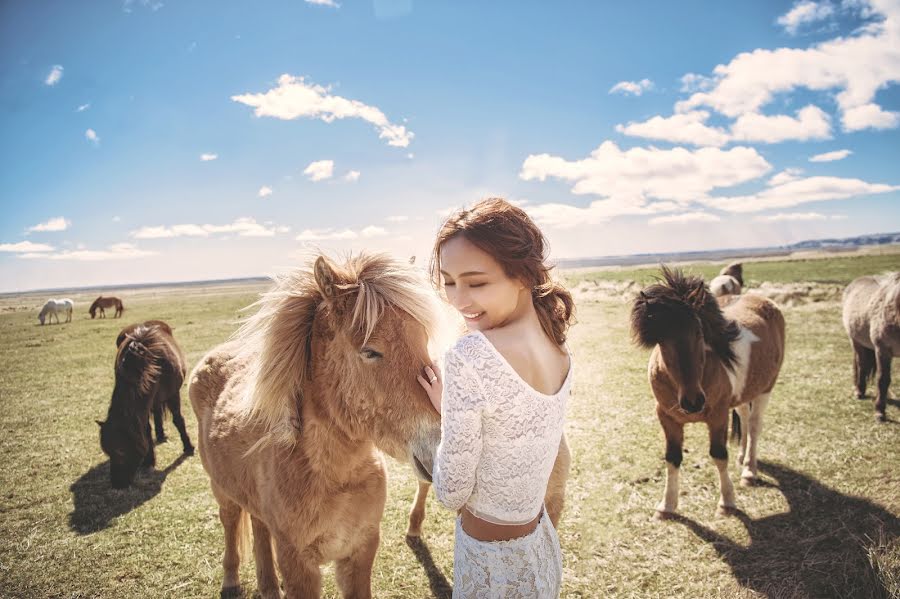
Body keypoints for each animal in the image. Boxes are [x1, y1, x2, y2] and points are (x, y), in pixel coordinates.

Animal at [97, 318, 194, 488]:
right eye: (108, 452)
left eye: (121, 451)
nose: (117, 484)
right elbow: (146, 430)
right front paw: (149, 460)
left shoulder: (173, 394)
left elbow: (178, 420)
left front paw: (188, 447)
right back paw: (160, 435)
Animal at [189, 254, 442, 599]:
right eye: (370, 351)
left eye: (424, 341)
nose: (444, 449)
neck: (337, 478)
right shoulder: (299, 565)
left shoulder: (361, 550)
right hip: (221, 489)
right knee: (230, 521)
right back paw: (231, 581)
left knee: (258, 526)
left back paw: (269, 586)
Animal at [628, 268, 784, 520]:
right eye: (662, 341)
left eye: (699, 332)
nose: (693, 402)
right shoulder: (667, 418)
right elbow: (672, 458)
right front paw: (667, 505)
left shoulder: (718, 416)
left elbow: (719, 455)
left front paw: (727, 502)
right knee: (744, 415)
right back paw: (742, 457)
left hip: (766, 388)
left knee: (754, 426)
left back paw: (749, 471)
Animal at [840, 272, 896, 422]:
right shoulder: (882, 350)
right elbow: (883, 380)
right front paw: (879, 412)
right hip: (856, 341)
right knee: (861, 365)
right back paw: (859, 391)